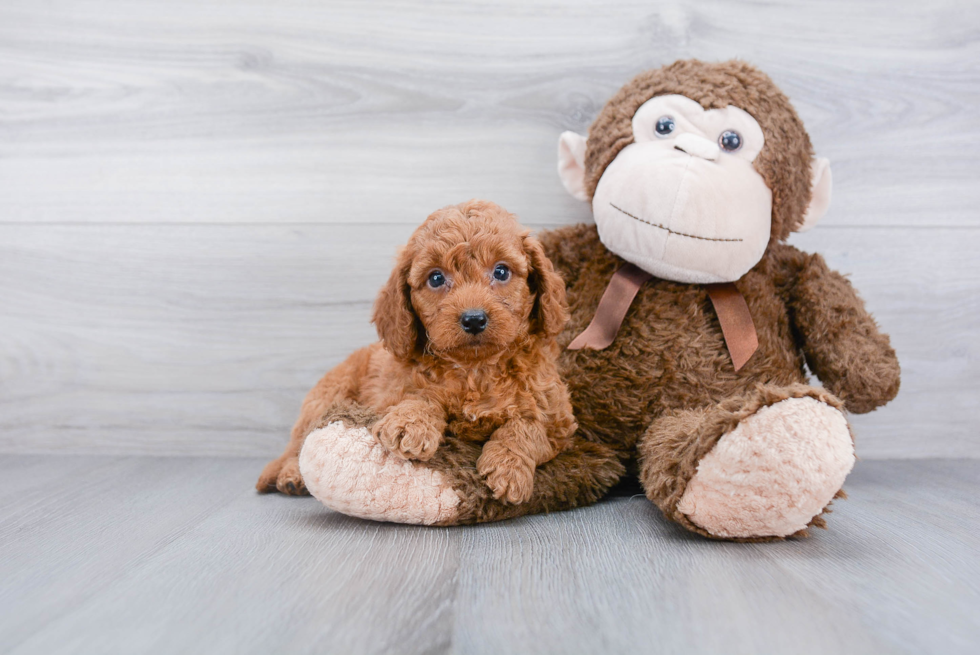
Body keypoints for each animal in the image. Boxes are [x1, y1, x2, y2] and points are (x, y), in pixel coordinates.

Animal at [256, 199, 580, 502]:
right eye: (436, 278)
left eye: (501, 271)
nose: (474, 319)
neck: (475, 369)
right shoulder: (390, 395)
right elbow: (420, 396)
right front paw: (410, 423)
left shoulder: (558, 420)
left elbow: (527, 427)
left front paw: (509, 467)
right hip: (328, 395)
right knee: (299, 444)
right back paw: (291, 475)